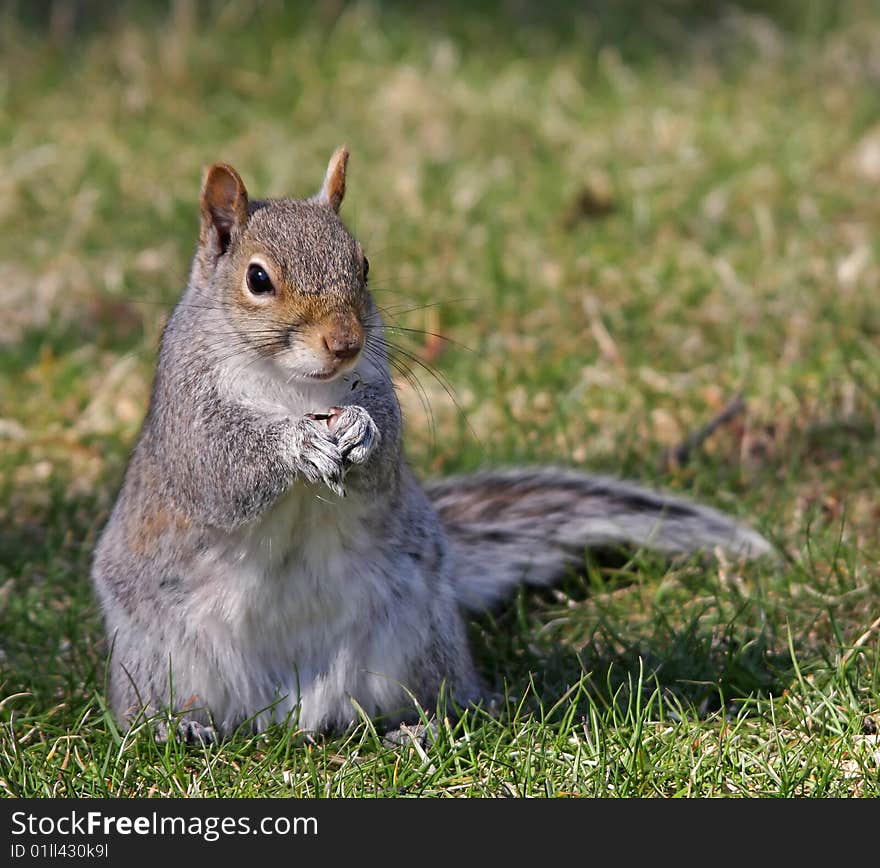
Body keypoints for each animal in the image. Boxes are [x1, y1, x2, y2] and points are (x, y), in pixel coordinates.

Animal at [89, 146, 768, 744]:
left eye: (363, 265)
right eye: (257, 279)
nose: (344, 342)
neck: (294, 386)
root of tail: (287, 711)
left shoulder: (376, 388)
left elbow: (385, 457)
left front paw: (362, 432)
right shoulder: (188, 415)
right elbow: (220, 473)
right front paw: (297, 443)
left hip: (417, 634)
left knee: (452, 698)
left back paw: (429, 724)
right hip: (156, 653)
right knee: (153, 708)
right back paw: (177, 726)